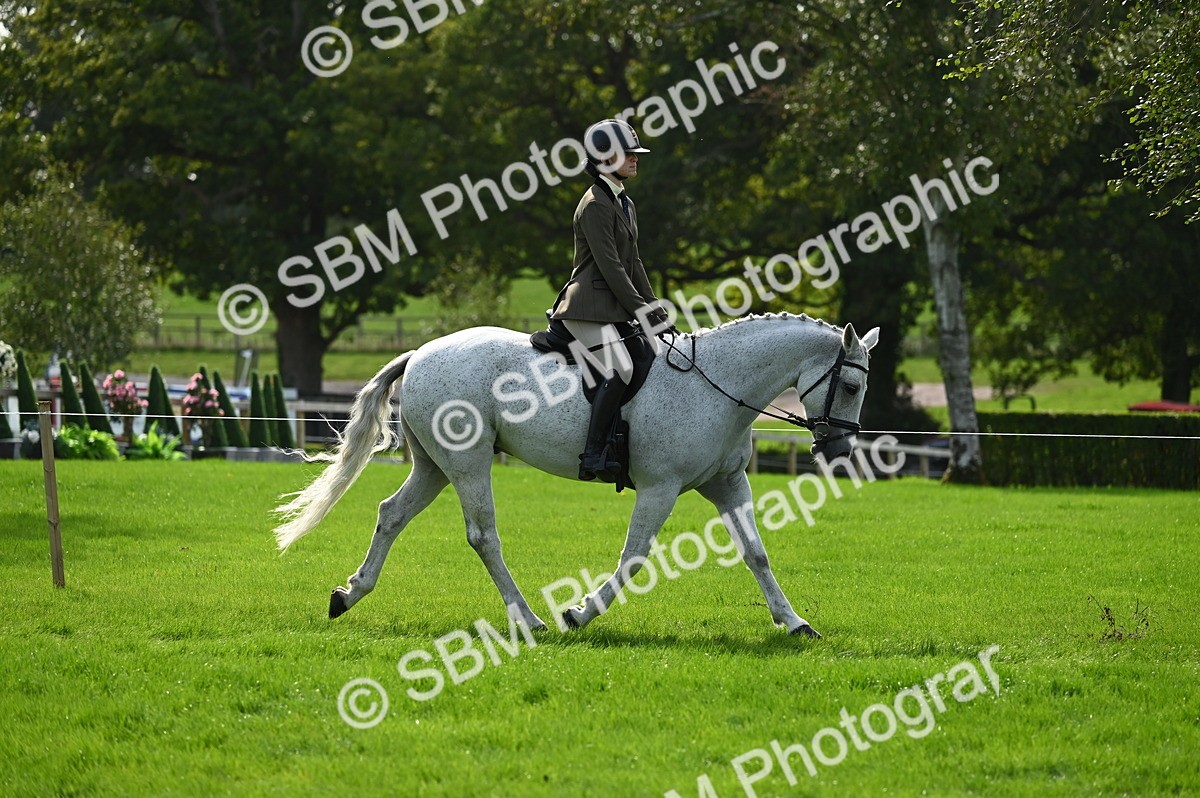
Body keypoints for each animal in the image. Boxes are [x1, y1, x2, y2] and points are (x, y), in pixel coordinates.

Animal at [274, 313, 879, 638]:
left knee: (391, 514)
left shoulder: (727, 484)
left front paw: (794, 622)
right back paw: (529, 620)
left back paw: (349, 594)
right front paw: (579, 612)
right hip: (468, 462)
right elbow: (634, 557)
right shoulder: (660, 488)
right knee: (483, 535)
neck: (718, 384)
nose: (840, 448)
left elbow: (756, 553)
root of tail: (420, 351)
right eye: (850, 386)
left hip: (434, 466)